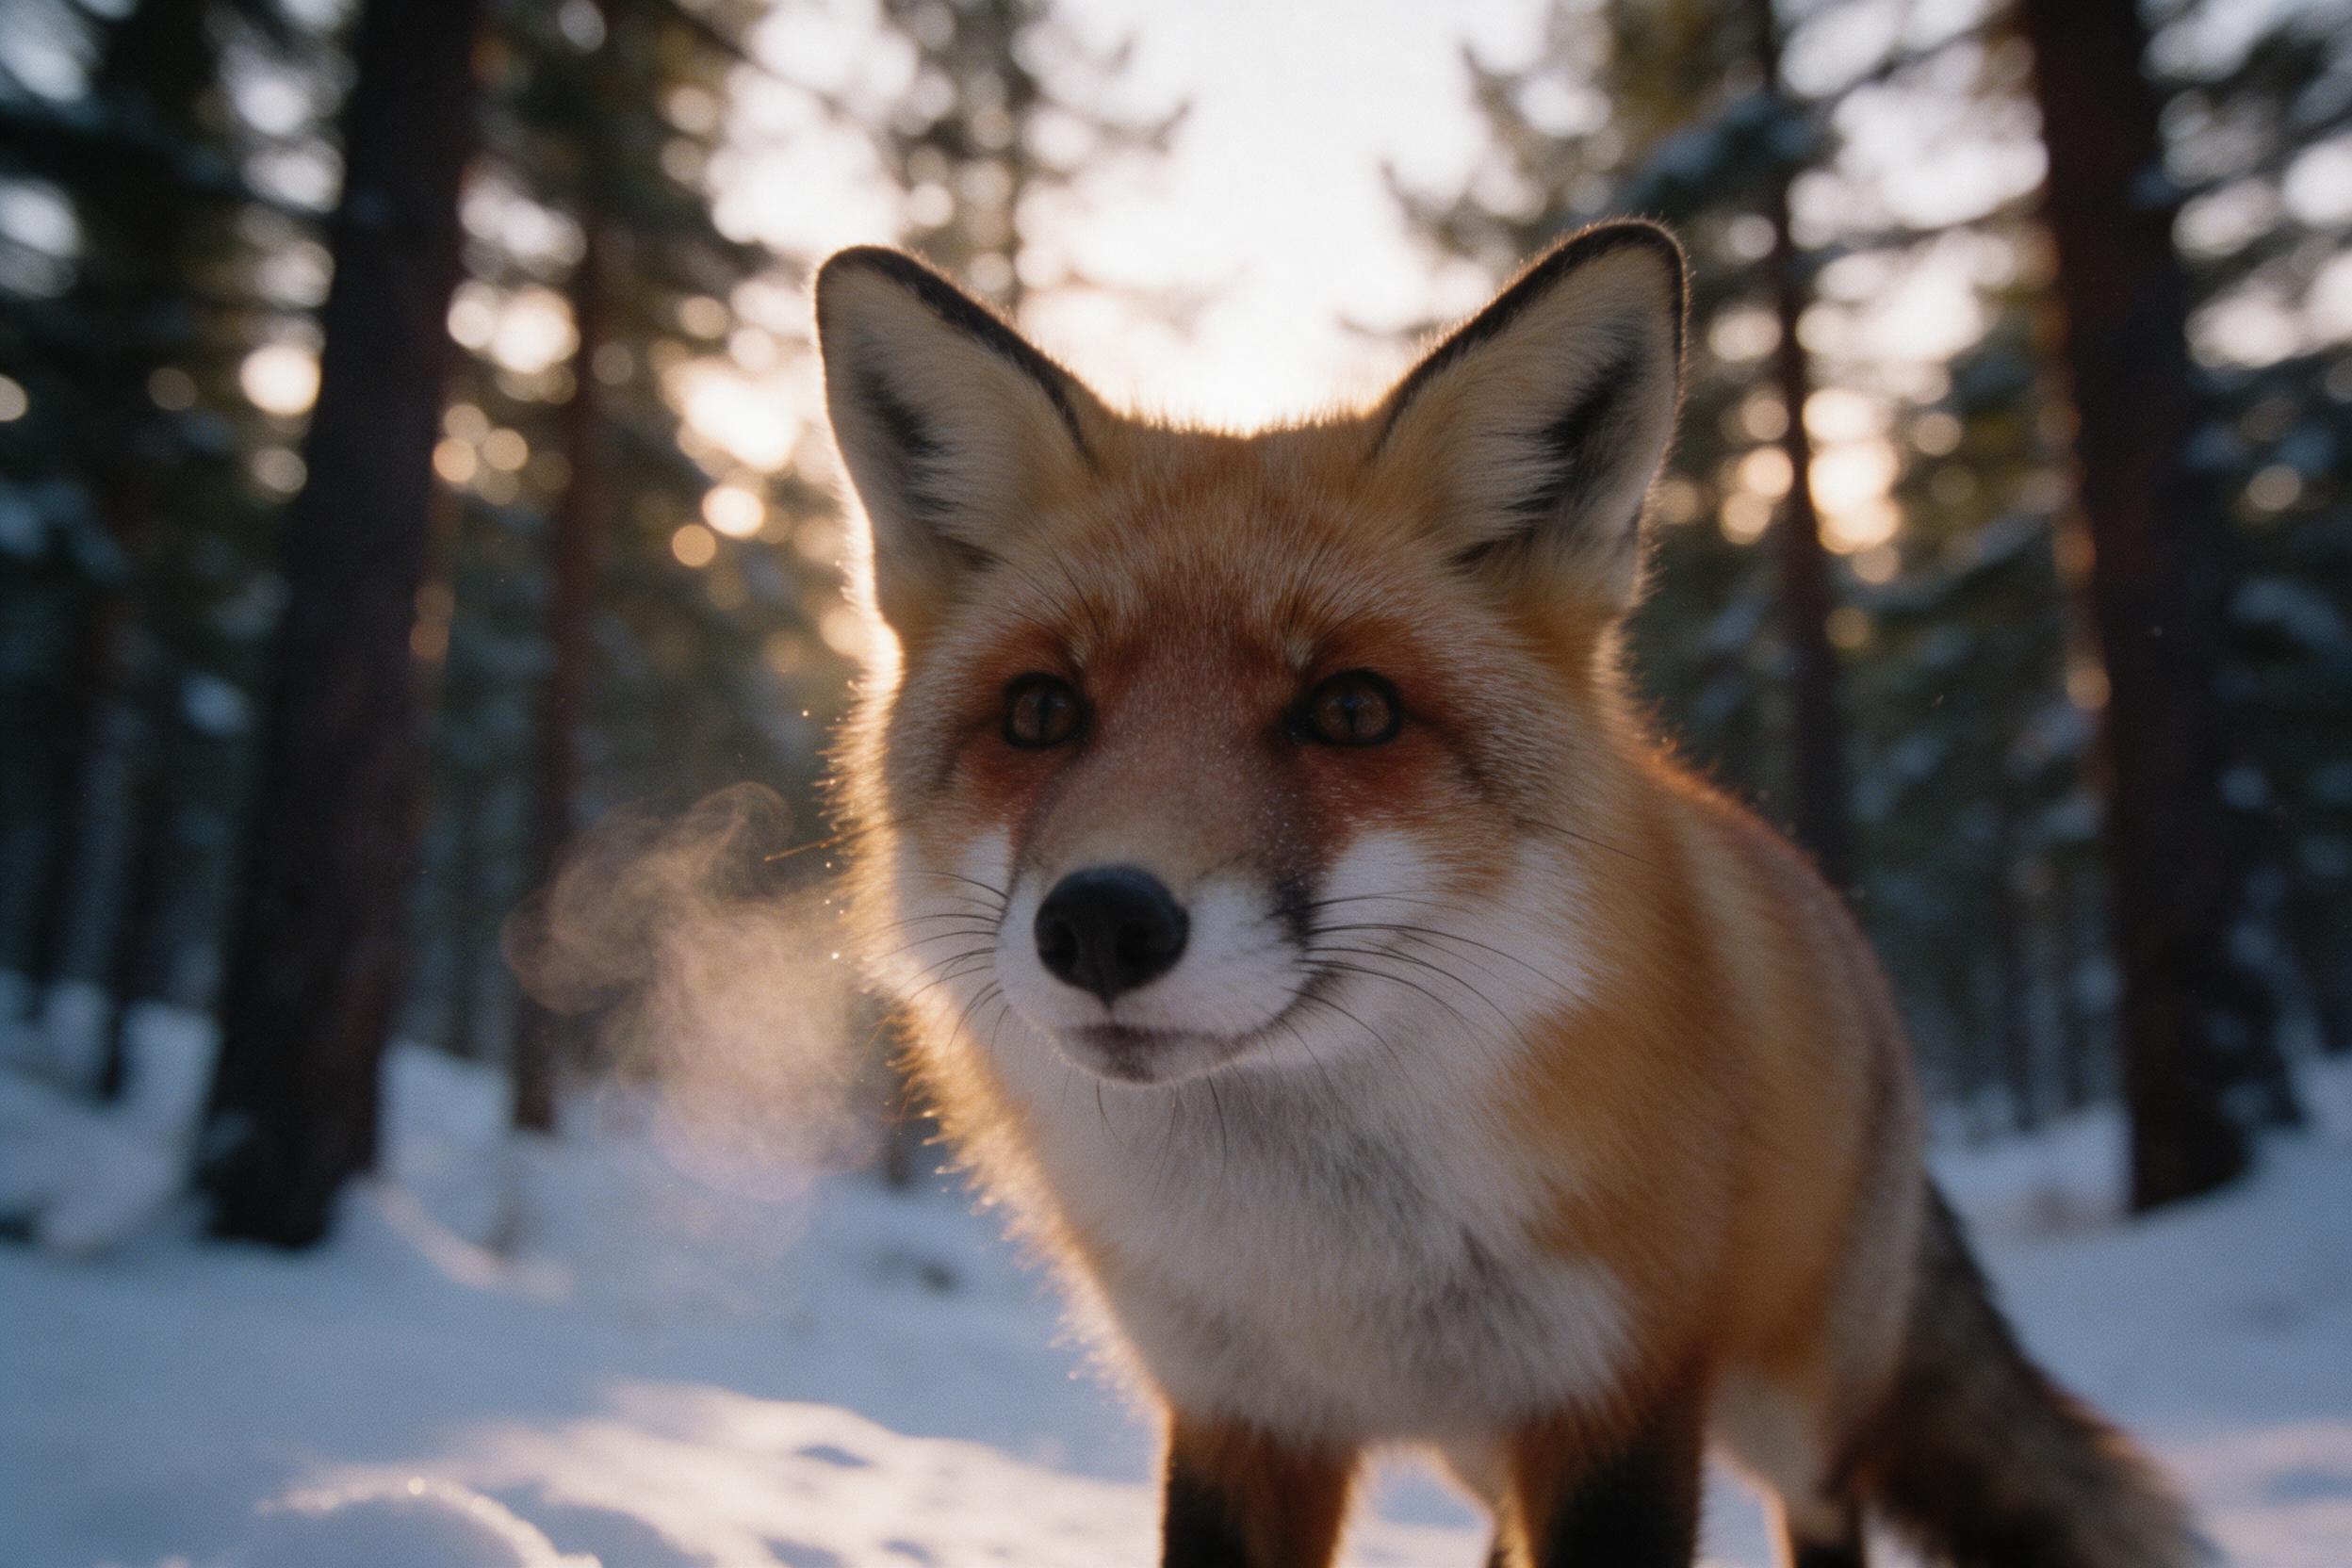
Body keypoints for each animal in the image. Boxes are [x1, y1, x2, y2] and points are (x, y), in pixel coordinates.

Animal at [812, 222, 2207, 1568]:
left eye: (1353, 711)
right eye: (1042, 712)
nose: (1103, 921)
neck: (1329, 1269)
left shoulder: (1615, 1396)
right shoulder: (1241, 1415)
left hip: (1788, 1415)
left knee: (1825, 1514)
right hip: (1484, 1455)